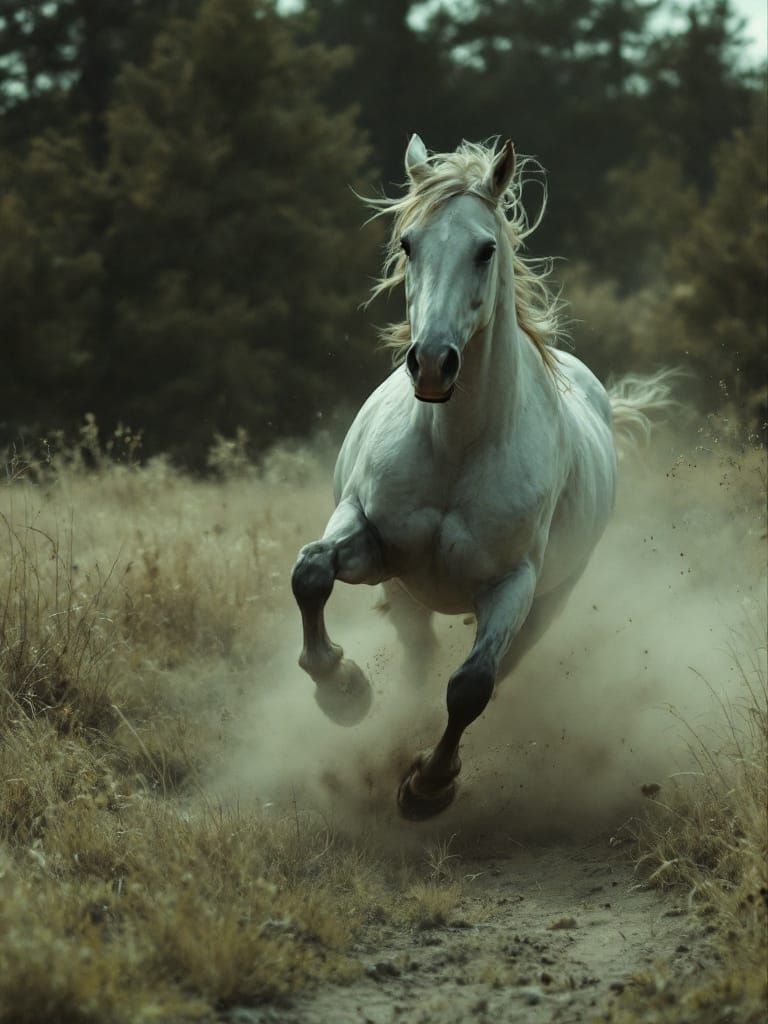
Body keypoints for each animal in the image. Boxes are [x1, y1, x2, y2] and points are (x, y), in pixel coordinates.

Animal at [291, 135, 673, 821]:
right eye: (408, 243)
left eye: (485, 248)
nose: (432, 363)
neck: (457, 446)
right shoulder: (372, 539)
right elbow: (310, 572)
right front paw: (342, 688)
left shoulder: (511, 584)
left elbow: (470, 687)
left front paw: (427, 786)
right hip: (409, 594)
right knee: (416, 656)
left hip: (549, 601)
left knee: (495, 670)